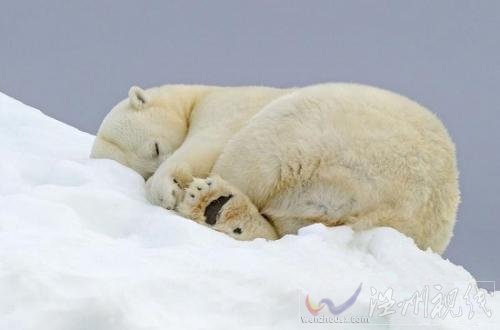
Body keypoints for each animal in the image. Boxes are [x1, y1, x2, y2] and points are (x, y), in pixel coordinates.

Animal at [92, 84, 458, 254]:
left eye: (154, 148)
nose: (159, 167)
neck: (199, 94)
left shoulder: (227, 106)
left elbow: (208, 141)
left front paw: (169, 187)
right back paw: (224, 212)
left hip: (317, 130)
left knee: (249, 151)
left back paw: (208, 200)